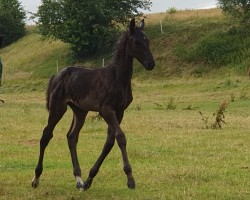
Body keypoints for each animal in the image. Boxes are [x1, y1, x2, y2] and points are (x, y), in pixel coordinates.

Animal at [32, 19, 155, 191]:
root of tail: (56, 75)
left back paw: (79, 179)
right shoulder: (106, 110)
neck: (117, 77)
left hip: (80, 111)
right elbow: (121, 137)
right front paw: (130, 179)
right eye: (137, 42)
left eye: (147, 41)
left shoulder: (119, 111)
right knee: (46, 135)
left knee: (72, 136)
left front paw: (89, 179)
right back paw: (36, 178)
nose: (151, 64)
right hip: (58, 107)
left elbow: (109, 142)